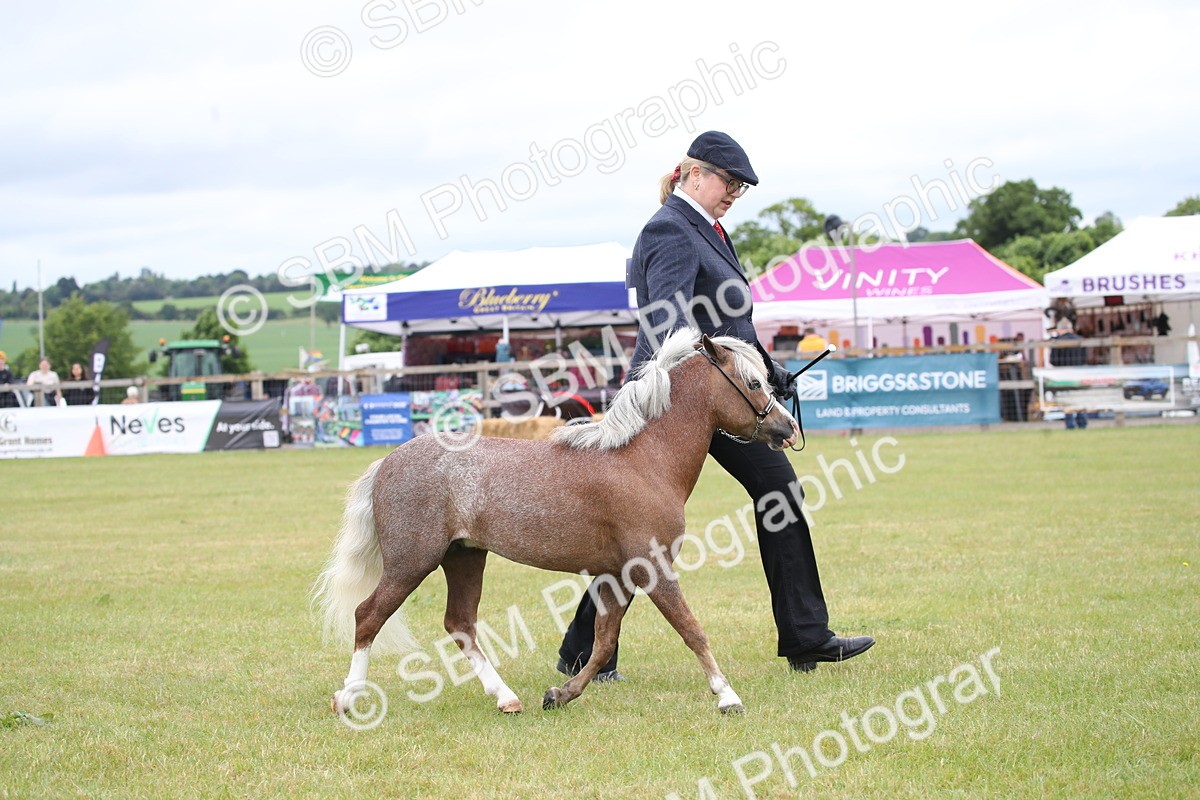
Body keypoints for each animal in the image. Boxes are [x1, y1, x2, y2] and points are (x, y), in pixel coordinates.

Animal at [313, 327, 799, 716]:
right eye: (753, 382)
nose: (788, 428)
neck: (643, 459)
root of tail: (388, 461)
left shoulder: (618, 574)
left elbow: (602, 644)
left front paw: (560, 694)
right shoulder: (654, 569)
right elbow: (692, 631)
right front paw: (727, 696)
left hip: (464, 557)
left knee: (460, 625)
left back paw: (507, 698)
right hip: (412, 562)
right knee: (368, 616)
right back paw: (348, 699)